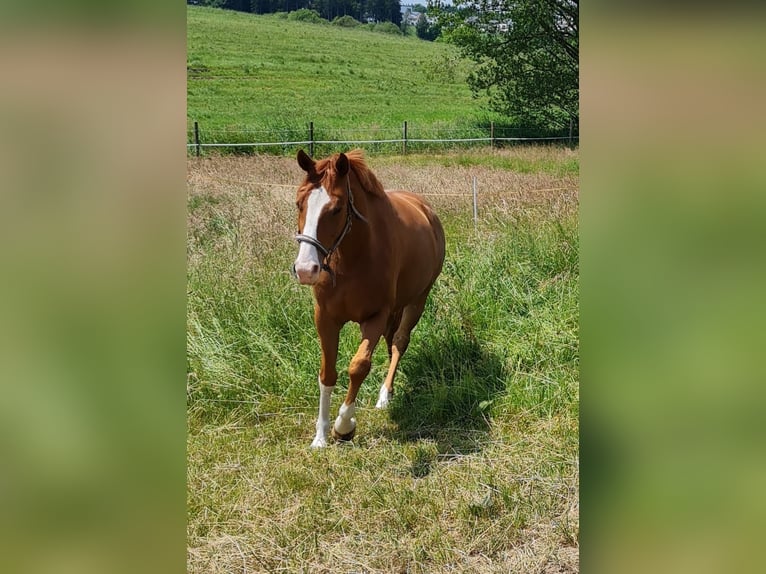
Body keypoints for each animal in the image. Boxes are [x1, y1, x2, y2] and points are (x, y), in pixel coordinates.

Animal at [292, 149, 446, 448]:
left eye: (336, 209)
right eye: (299, 203)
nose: (306, 269)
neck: (352, 259)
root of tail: (426, 209)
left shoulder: (375, 316)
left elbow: (358, 366)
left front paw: (343, 427)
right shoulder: (325, 318)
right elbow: (327, 374)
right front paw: (320, 437)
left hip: (417, 301)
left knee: (399, 342)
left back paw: (385, 395)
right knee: (391, 340)